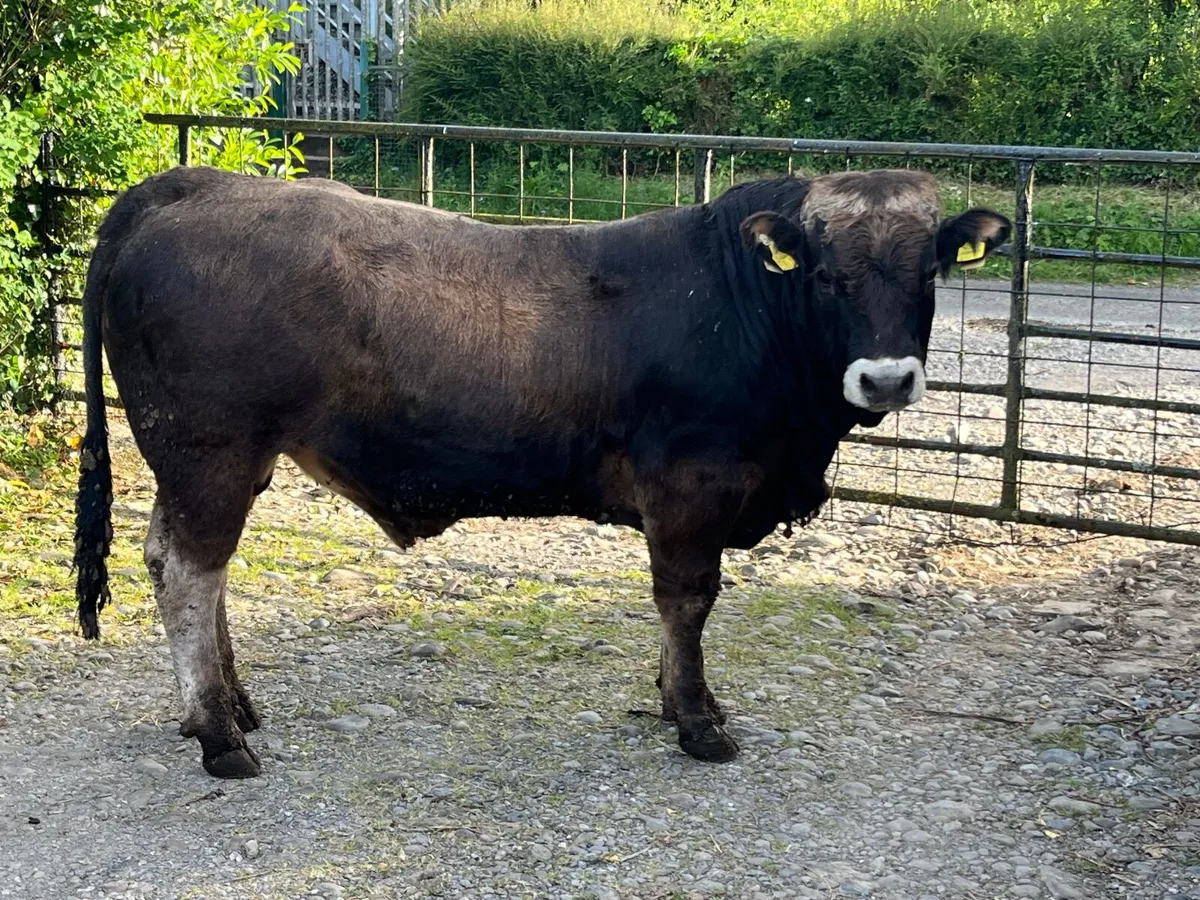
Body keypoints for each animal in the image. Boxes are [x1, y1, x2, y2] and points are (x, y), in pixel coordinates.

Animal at [72, 165, 1009, 778]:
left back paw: (230, 707)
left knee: (181, 566)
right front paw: (696, 718)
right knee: (190, 574)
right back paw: (220, 736)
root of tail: (192, 184)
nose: (885, 378)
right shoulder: (692, 483)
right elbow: (688, 598)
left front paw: (677, 698)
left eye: (929, 269)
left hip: (212, 459)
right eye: (823, 272)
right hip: (210, 450)